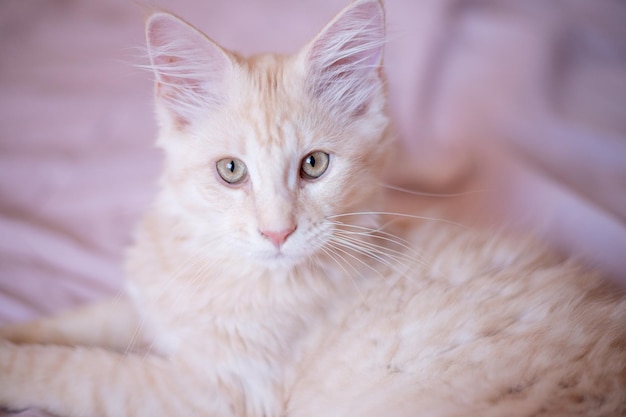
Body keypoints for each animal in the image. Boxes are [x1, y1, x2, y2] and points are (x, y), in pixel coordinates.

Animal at [1, 0, 624, 416]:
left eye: (315, 165)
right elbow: (82, 322)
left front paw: (12, 363)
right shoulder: (149, 308)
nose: (277, 233)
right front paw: (16, 330)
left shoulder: (219, 393)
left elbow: (75, 369)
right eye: (232, 171)